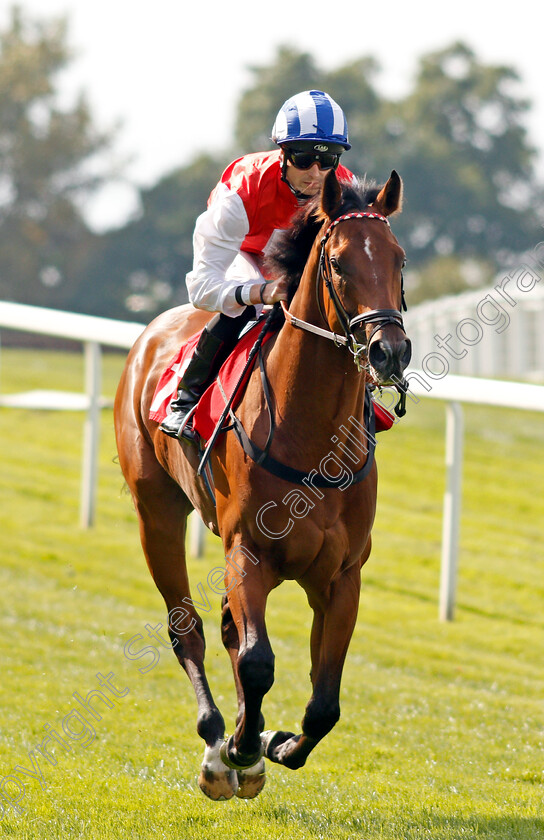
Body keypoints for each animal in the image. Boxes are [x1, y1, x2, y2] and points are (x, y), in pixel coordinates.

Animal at [116, 169, 412, 800]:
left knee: (230, 630)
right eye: (339, 263)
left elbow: (324, 702)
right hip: (157, 514)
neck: (313, 438)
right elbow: (257, 661)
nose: (389, 351)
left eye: (399, 258)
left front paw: (273, 744)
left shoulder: (342, 574)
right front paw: (243, 746)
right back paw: (215, 744)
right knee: (189, 630)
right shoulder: (248, 551)